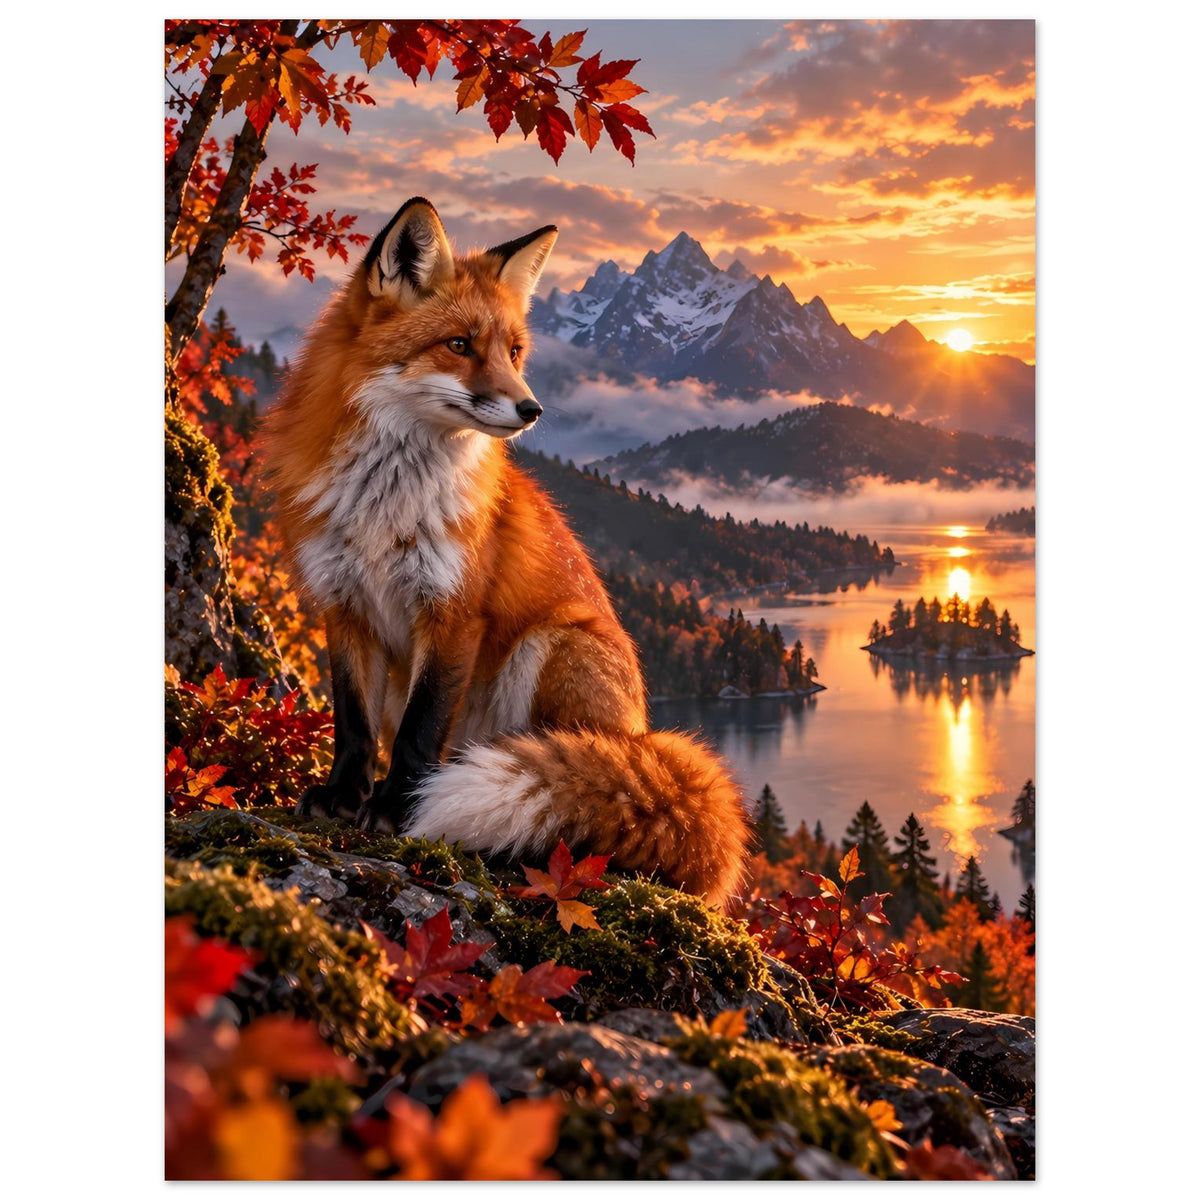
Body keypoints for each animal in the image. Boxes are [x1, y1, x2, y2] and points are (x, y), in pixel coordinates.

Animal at [263, 196, 750, 907]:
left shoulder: (454, 612)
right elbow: (353, 725)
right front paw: (342, 798)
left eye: (515, 351)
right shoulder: (344, 604)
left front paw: (397, 810)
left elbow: (418, 733)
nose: (532, 408)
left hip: (550, 645)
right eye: (459, 345)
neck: (386, 506)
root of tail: (641, 735)